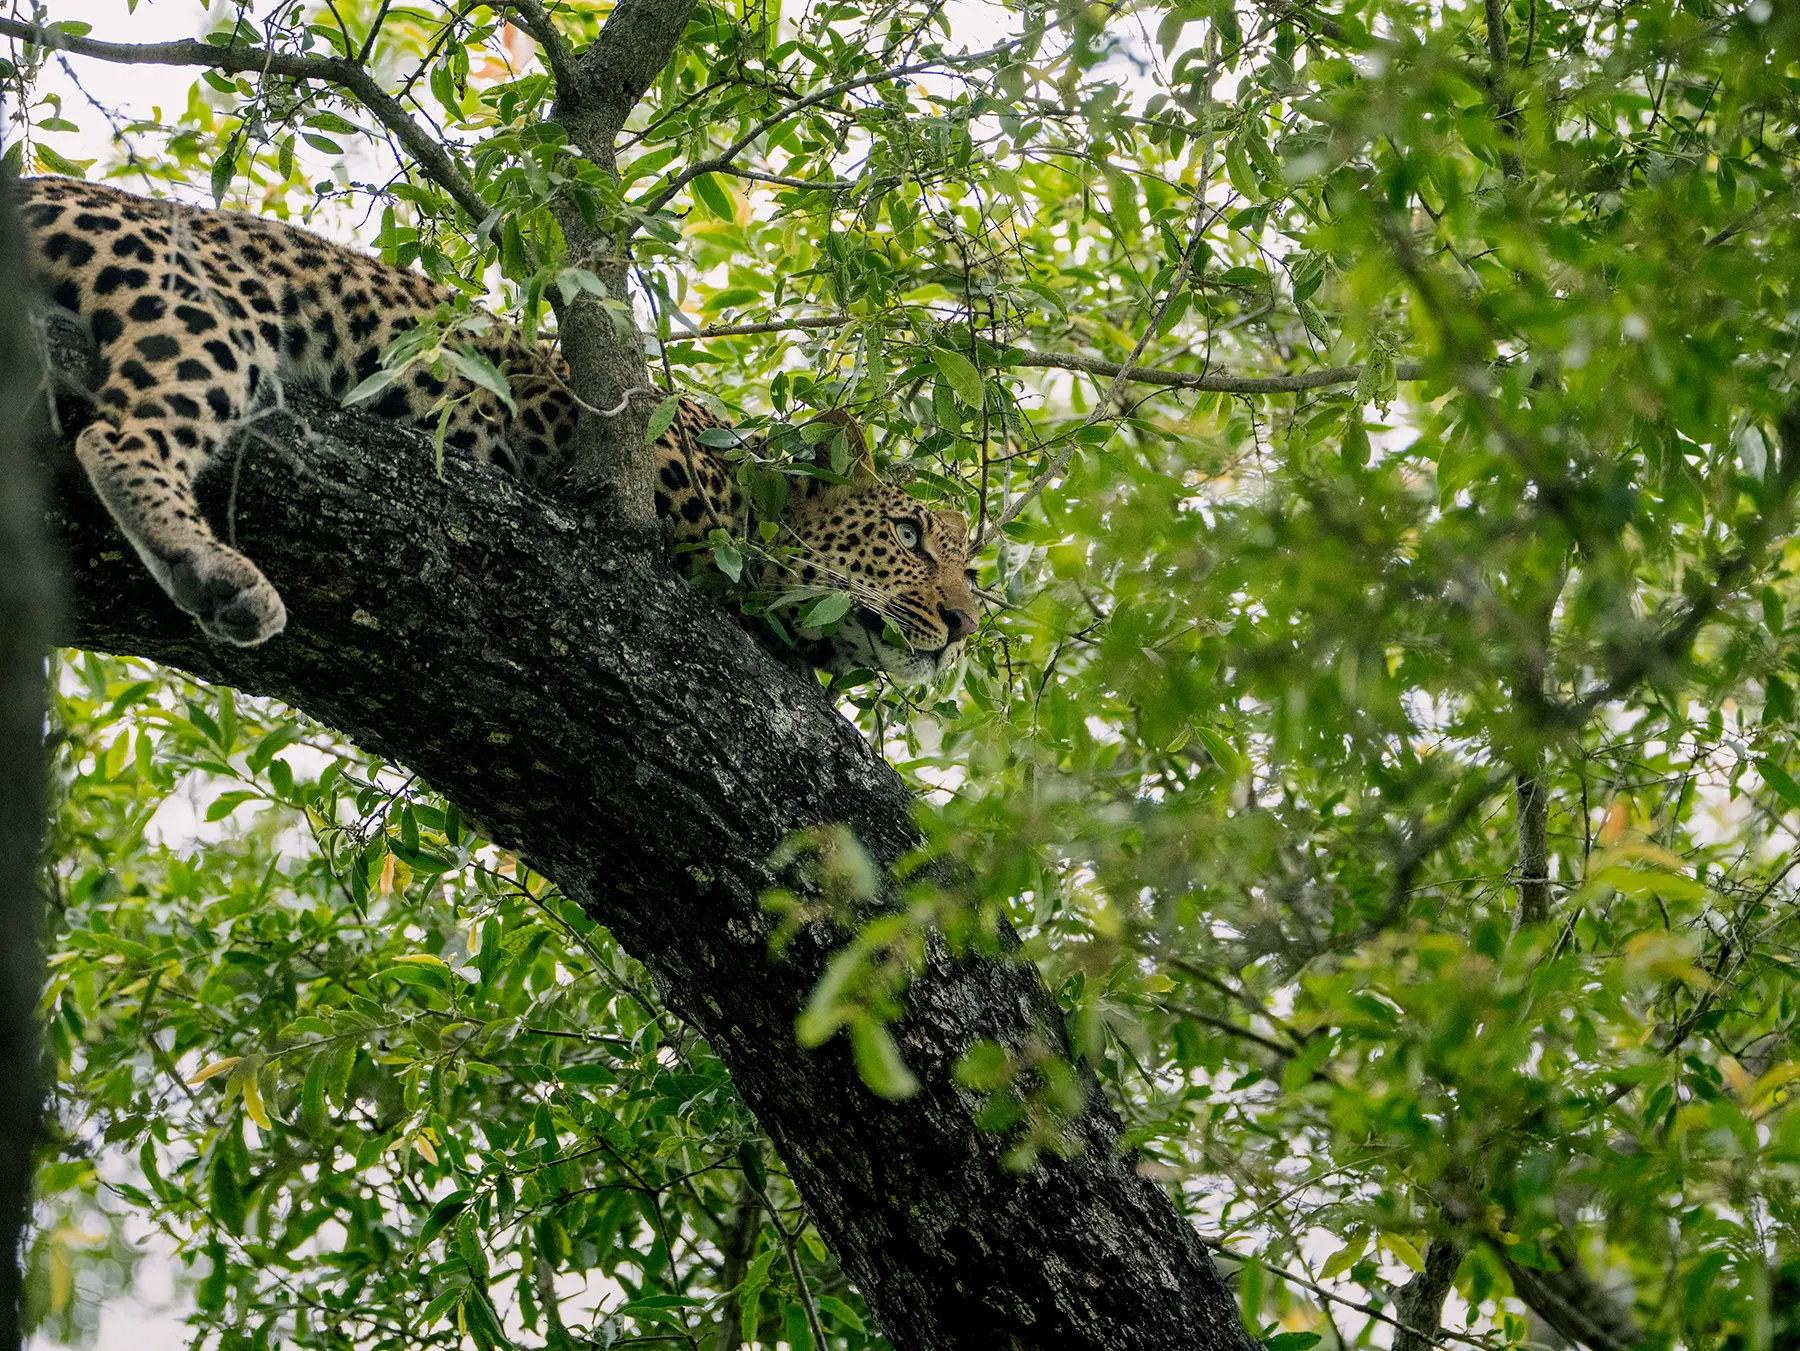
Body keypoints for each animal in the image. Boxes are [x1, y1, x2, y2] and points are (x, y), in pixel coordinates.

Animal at [22, 176, 979, 686]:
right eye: (907, 535)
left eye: (973, 573)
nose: (965, 625)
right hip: (199, 302)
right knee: (118, 437)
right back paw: (219, 575)